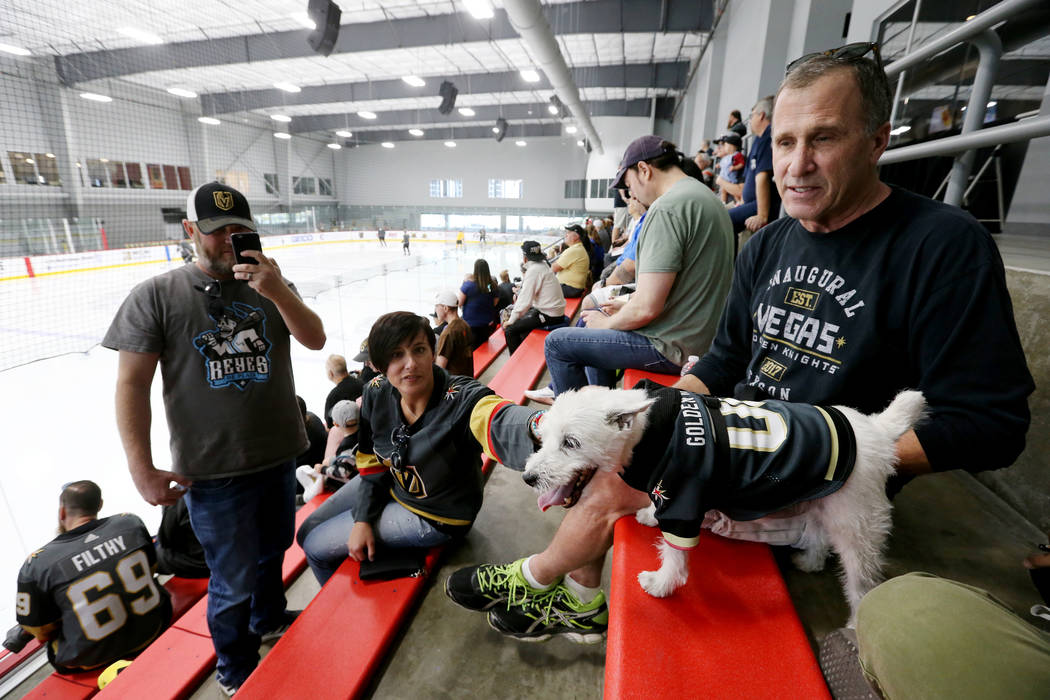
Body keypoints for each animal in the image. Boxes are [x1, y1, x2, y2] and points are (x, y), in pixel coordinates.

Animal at [520, 384, 923, 625]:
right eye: (545, 437)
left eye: (571, 443)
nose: (529, 478)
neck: (648, 433)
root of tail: (877, 431)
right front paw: (649, 514)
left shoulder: (683, 502)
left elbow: (676, 555)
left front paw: (661, 584)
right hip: (823, 503)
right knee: (820, 536)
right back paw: (810, 562)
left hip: (858, 525)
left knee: (861, 581)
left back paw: (856, 625)